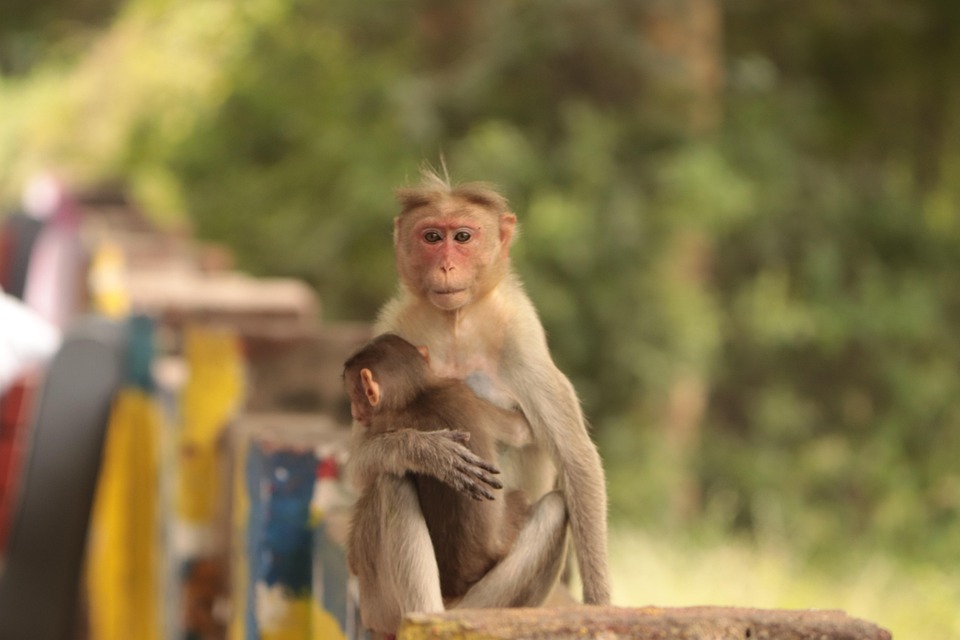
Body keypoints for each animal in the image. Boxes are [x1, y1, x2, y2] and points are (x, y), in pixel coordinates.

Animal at [343, 333, 530, 609]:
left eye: (356, 398)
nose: (355, 412)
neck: (418, 395)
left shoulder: (385, 419)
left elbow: (358, 470)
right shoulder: (461, 392)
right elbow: (520, 430)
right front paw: (430, 452)